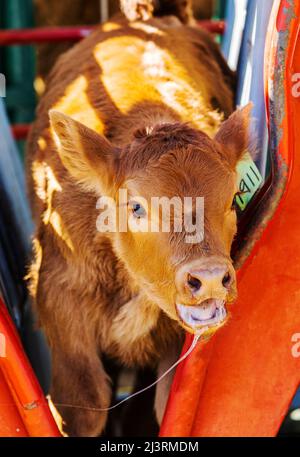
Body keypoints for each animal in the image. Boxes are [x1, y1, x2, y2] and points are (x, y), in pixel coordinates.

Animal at [26, 11, 251, 438]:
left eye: (232, 199)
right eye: (136, 207)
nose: (209, 277)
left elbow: (164, 406)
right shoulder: (59, 299)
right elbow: (86, 405)